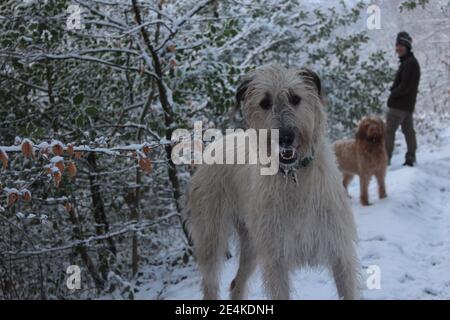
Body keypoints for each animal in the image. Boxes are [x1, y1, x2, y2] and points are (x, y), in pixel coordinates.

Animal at [186, 65, 358, 300]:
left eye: (295, 98)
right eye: (265, 103)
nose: (285, 137)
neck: (294, 176)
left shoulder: (340, 253)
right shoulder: (275, 262)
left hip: (251, 244)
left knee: (236, 284)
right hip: (211, 235)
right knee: (211, 281)